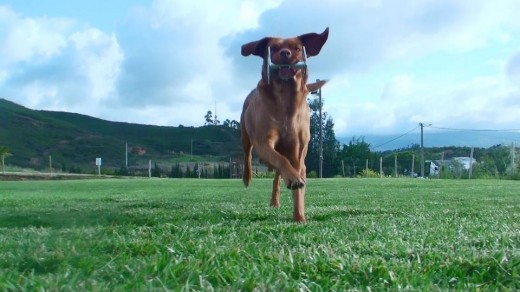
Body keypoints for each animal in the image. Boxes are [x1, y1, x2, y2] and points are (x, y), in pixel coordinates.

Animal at [241, 28, 330, 222]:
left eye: (296, 48)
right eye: (273, 48)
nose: (285, 53)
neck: (286, 99)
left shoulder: (297, 152)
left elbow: (298, 186)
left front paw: (300, 217)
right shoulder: (263, 142)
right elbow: (280, 161)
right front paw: (293, 179)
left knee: (278, 176)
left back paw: (276, 200)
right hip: (245, 135)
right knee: (248, 156)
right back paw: (247, 178)